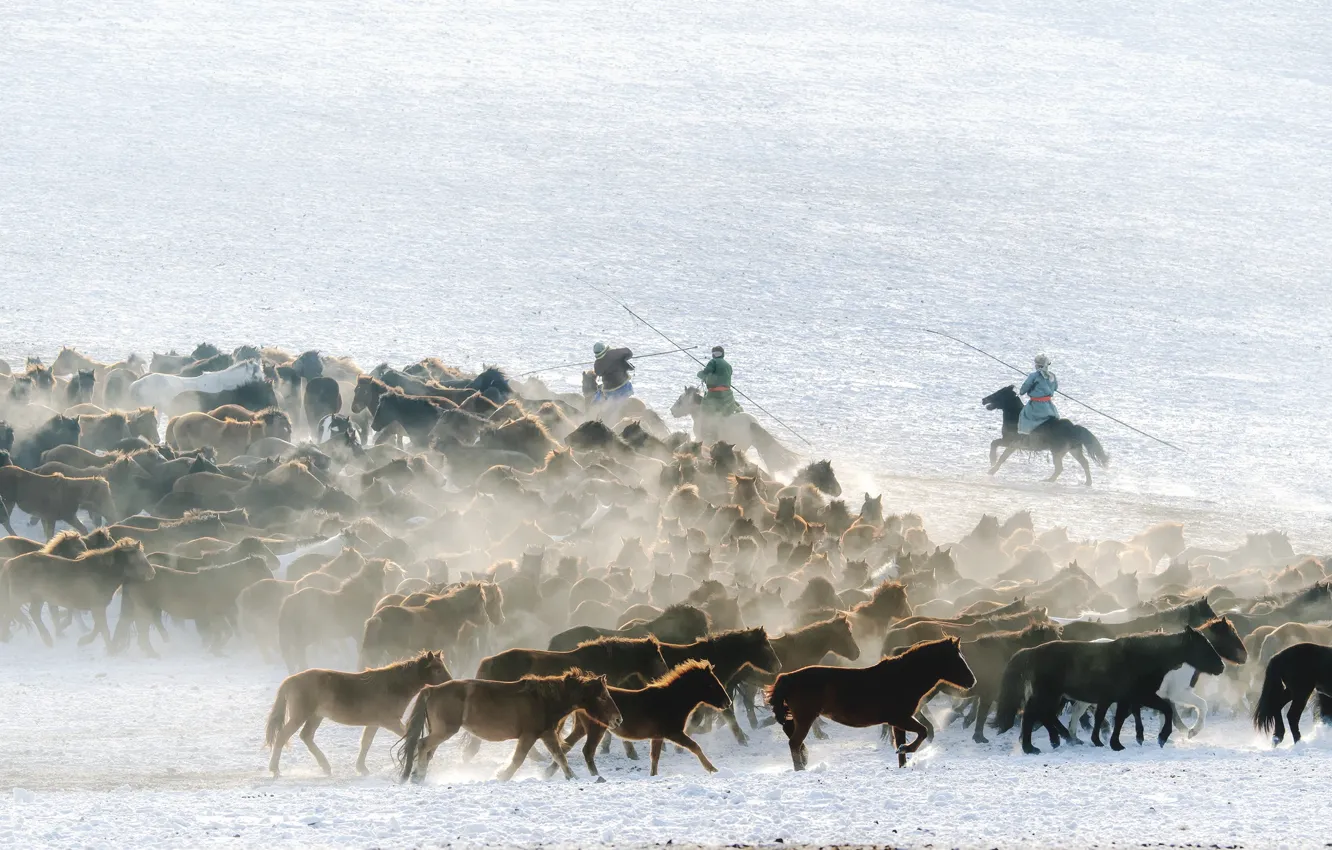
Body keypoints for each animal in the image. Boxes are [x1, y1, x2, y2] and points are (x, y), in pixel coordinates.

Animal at [266, 651, 451, 776]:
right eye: (437, 670)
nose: (451, 684)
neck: (393, 686)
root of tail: (291, 680)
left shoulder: (374, 723)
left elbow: (366, 743)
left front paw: (361, 768)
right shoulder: (390, 722)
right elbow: (410, 737)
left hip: (315, 716)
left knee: (306, 736)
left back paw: (325, 766)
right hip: (300, 716)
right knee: (282, 737)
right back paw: (275, 770)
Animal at [396, 669, 621, 783]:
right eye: (603, 696)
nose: (618, 719)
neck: (543, 699)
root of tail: (432, 689)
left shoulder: (546, 733)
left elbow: (560, 756)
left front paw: (571, 776)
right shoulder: (529, 735)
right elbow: (518, 758)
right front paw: (502, 775)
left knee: (426, 749)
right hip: (445, 731)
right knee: (423, 745)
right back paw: (418, 776)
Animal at [767, 637, 976, 769]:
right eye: (956, 659)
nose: (972, 681)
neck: (903, 678)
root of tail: (787, 677)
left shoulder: (898, 722)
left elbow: (902, 745)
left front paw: (903, 761)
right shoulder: (900, 718)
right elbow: (922, 732)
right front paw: (907, 749)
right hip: (805, 718)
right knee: (794, 743)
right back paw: (800, 769)